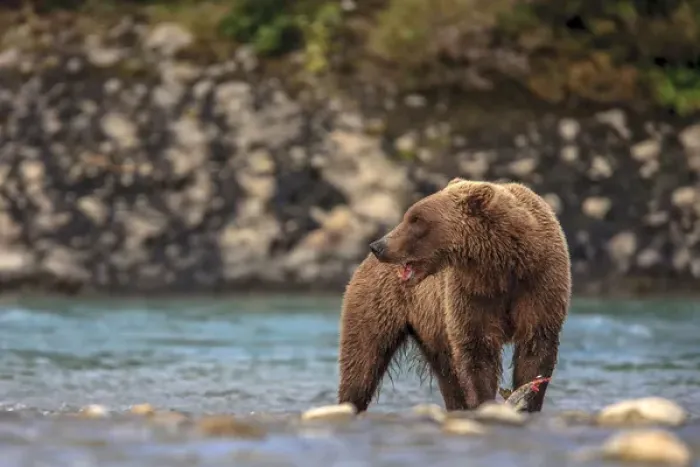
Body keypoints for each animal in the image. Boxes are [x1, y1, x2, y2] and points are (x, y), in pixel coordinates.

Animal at [337, 178, 571, 412]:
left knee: (447, 377)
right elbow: (476, 353)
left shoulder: (539, 284)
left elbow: (536, 347)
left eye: (416, 219)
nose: (378, 246)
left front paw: (527, 399)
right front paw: (485, 402)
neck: (501, 266)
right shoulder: (469, 295)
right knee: (362, 362)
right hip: (381, 304)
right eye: (409, 216)